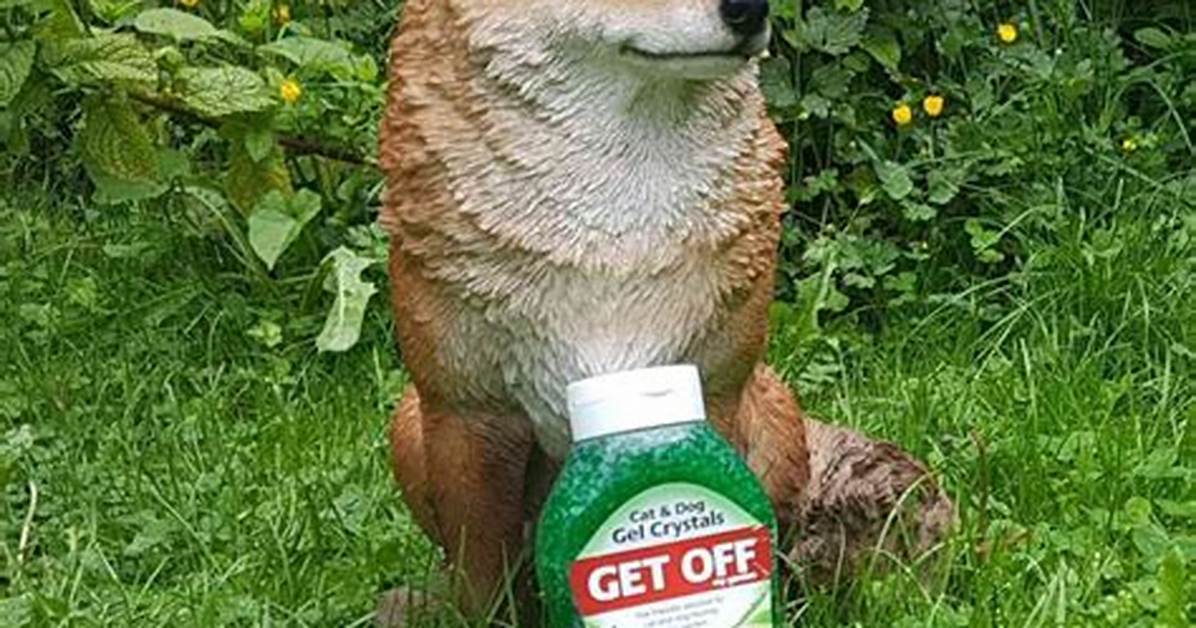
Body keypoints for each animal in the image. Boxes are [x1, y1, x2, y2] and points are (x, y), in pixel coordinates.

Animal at [378, 0, 953, 623]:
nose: (748, 11)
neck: (611, 241)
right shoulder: (466, 413)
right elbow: (485, 587)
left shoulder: (716, 389)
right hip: (408, 426)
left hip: (776, 413)